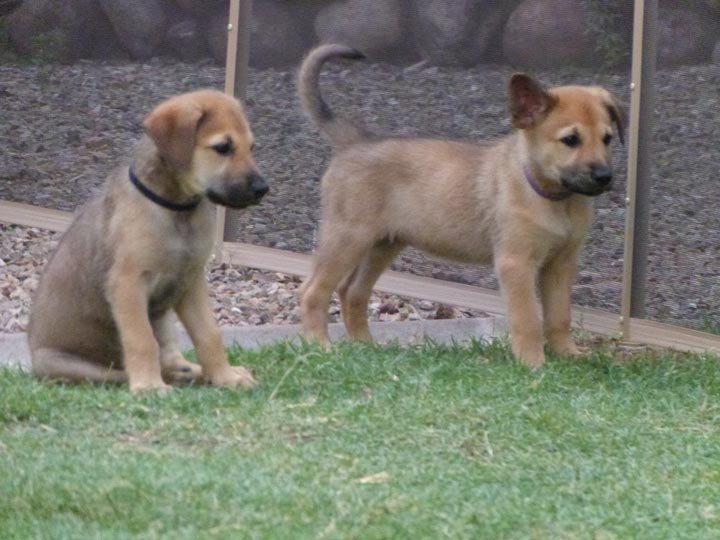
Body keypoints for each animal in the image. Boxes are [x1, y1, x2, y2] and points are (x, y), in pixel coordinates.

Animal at [26, 89, 270, 392]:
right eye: (223, 147)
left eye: (252, 147)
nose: (262, 189)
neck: (178, 211)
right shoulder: (128, 283)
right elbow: (142, 340)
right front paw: (150, 386)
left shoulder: (191, 281)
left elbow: (209, 333)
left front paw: (225, 376)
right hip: (69, 366)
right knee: (120, 373)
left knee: (173, 360)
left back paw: (191, 372)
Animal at [298, 45, 624, 368]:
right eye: (570, 140)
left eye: (607, 139)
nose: (605, 177)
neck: (555, 199)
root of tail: (356, 142)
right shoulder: (516, 264)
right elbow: (528, 319)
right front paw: (533, 364)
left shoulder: (561, 265)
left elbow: (559, 316)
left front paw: (568, 355)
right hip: (347, 238)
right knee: (313, 292)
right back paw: (321, 346)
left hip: (382, 244)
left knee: (352, 292)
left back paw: (367, 347)